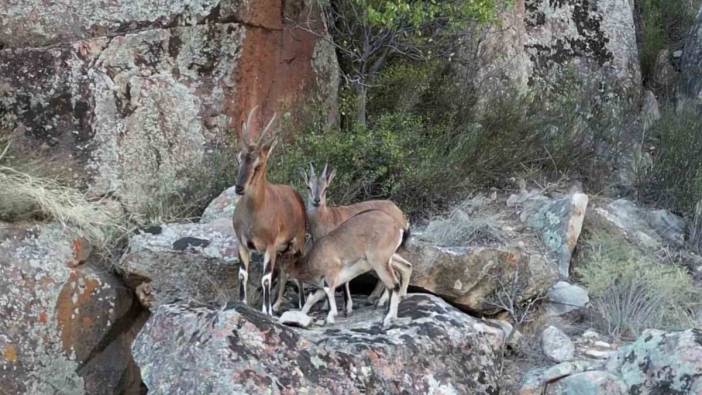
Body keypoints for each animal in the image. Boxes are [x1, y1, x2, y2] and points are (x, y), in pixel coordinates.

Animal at [234, 110, 308, 318]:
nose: (239, 187)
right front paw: (242, 303)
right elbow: (243, 274)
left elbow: (266, 278)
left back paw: (300, 303)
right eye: (239, 158)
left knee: (296, 267)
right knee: (284, 270)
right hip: (283, 249)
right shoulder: (242, 243)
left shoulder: (270, 245)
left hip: (297, 241)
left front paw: (265, 311)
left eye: (258, 164)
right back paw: (276, 304)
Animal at [286, 210, 416, 328]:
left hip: (379, 262)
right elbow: (314, 296)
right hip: (389, 259)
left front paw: (332, 316)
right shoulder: (333, 279)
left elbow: (330, 291)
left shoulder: (332, 276)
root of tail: (398, 227)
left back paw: (387, 317)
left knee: (394, 284)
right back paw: (396, 306)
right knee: (405, 268)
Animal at [304, 164, 412, 316]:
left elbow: (344, 281)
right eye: (308, 186)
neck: (327, 217)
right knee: (404, 267)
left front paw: (346, 307)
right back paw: (395, 297)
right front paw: (326, 306)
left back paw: (379, 301)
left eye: (326, 188)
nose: (316, 200)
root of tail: (401, 217)